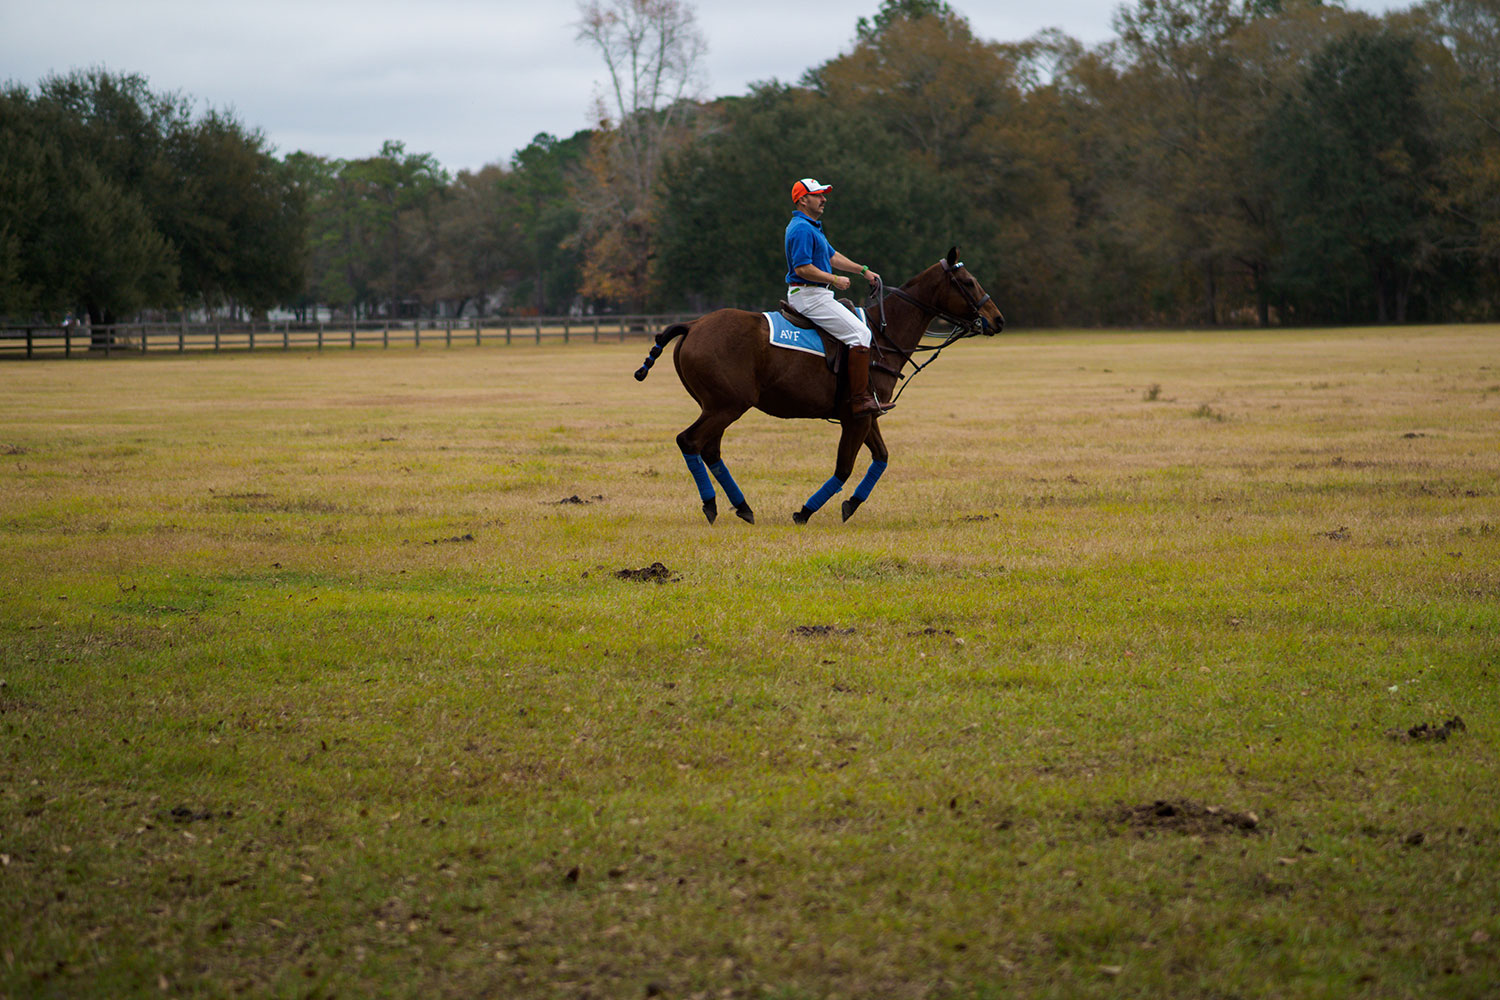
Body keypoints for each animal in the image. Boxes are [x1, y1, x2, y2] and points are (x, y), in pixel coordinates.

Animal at [633, 247, 1008, 524]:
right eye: (968, 282)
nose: (998, 319)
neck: (882, 337)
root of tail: (693, 325)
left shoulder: (866, 414)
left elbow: (882, 458)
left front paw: (851, 504)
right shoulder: (856, 416)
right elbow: (844, 467)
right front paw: (805, 511)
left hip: (717, 406)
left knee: (709, 449)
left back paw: (743, 507)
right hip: (727, 405)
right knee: (689, 441)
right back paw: (712, 505)